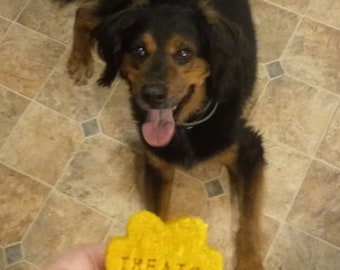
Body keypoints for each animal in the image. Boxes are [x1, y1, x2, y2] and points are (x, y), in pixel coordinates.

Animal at [59, 0, 266, 268]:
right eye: (138, 50)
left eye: (184, 54)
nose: (152, 95)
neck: (187, 126)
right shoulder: (157, 165)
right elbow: (156, 219)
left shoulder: (250, 150)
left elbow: (249, 221)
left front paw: (249, 262)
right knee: (84, 12)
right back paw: (80, 60)